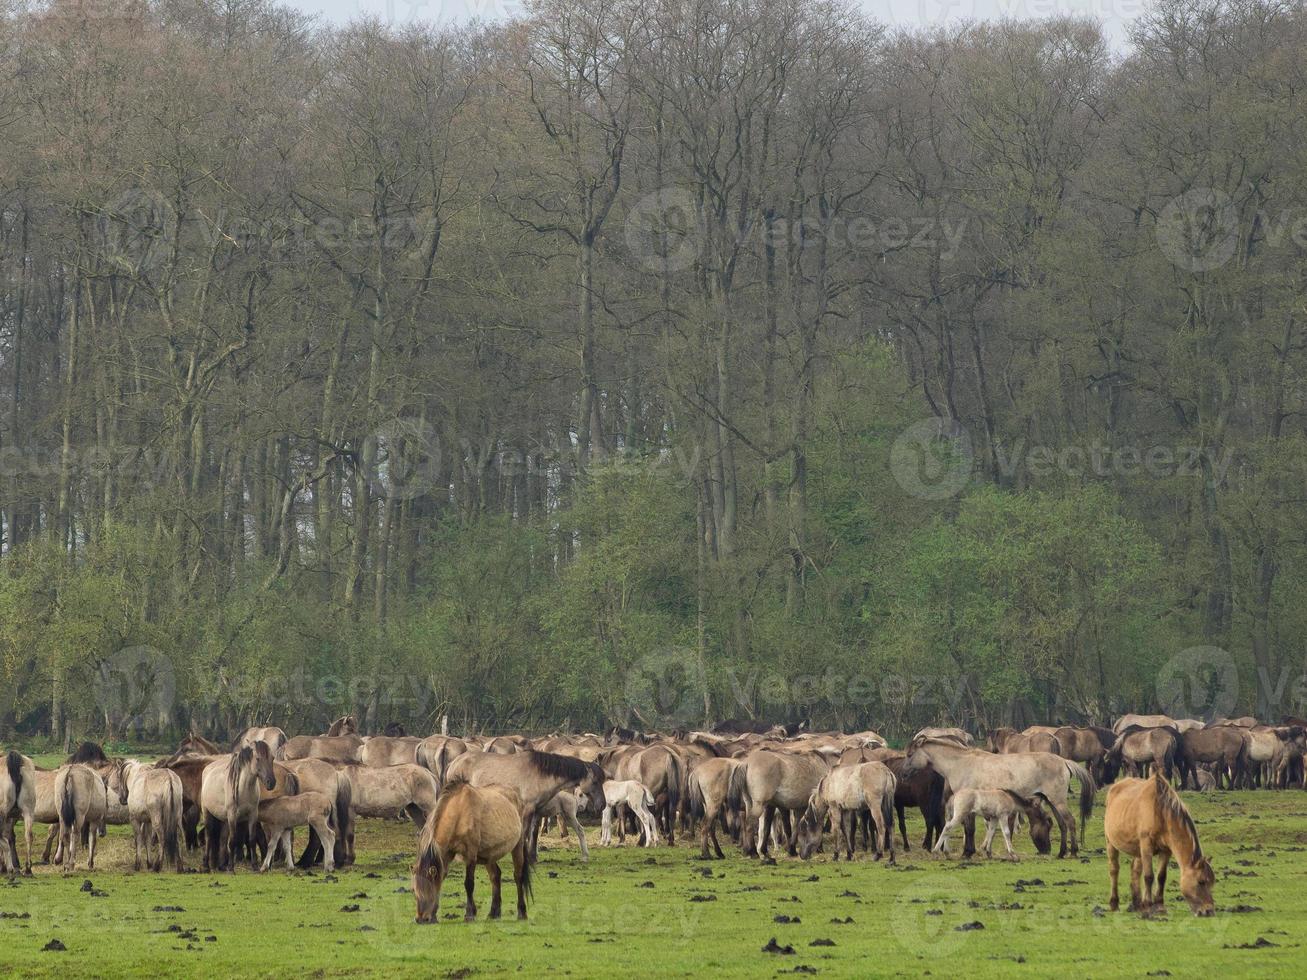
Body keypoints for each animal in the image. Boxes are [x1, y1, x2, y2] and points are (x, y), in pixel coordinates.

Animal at [199, 742, 277, 872]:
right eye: (258, 758)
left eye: (272, 758)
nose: (271, 782)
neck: (243, 788)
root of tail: (207, 769)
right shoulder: (232, 815)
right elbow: (233, 840)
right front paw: (231, 868)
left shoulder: (253, 815)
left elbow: (251, 839)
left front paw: (255, 866)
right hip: (207, 813)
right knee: (209, 836)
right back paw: (206, 866)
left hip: (224, 819)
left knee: (222, 838)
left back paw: (222, 866)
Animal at [407, 778, 530, 925]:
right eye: (414, 890)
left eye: (429, 888)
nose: (420, 918)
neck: (459, 813)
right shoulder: (445, 856)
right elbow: (441, 878)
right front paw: (434, 915)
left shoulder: (471, 855)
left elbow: (469, 884)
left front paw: (469, 914)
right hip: (489, 856)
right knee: (495, 876)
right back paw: (493, 913)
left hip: (518, 846)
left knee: (518, 877)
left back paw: (522, 912)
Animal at [899, 742, 1092, 857]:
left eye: (909, 755)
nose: (902, 774)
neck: (960, 764)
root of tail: (1064, 761)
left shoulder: (969, 805)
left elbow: (970, 828)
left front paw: (968, 852)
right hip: (1052, 802)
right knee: (1062, 824)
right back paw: (1061, 852)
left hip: (1057, 801)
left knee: (1070, 821)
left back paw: (1073, 852)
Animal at [1108, 773, 1218, 919]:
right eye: (1201, 882)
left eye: (1211, 883)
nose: (1208, 911)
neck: (1160, 811)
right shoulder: (1146, 844)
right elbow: (1149, 876)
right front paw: (1148, 906)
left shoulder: (1166, 850)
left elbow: (1161, 877)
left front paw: (1159, 907)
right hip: (1111, 842)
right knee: (1114, 870)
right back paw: (1114, 904)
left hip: (1138, 850)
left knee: (1135, 871)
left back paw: (1137, 905)